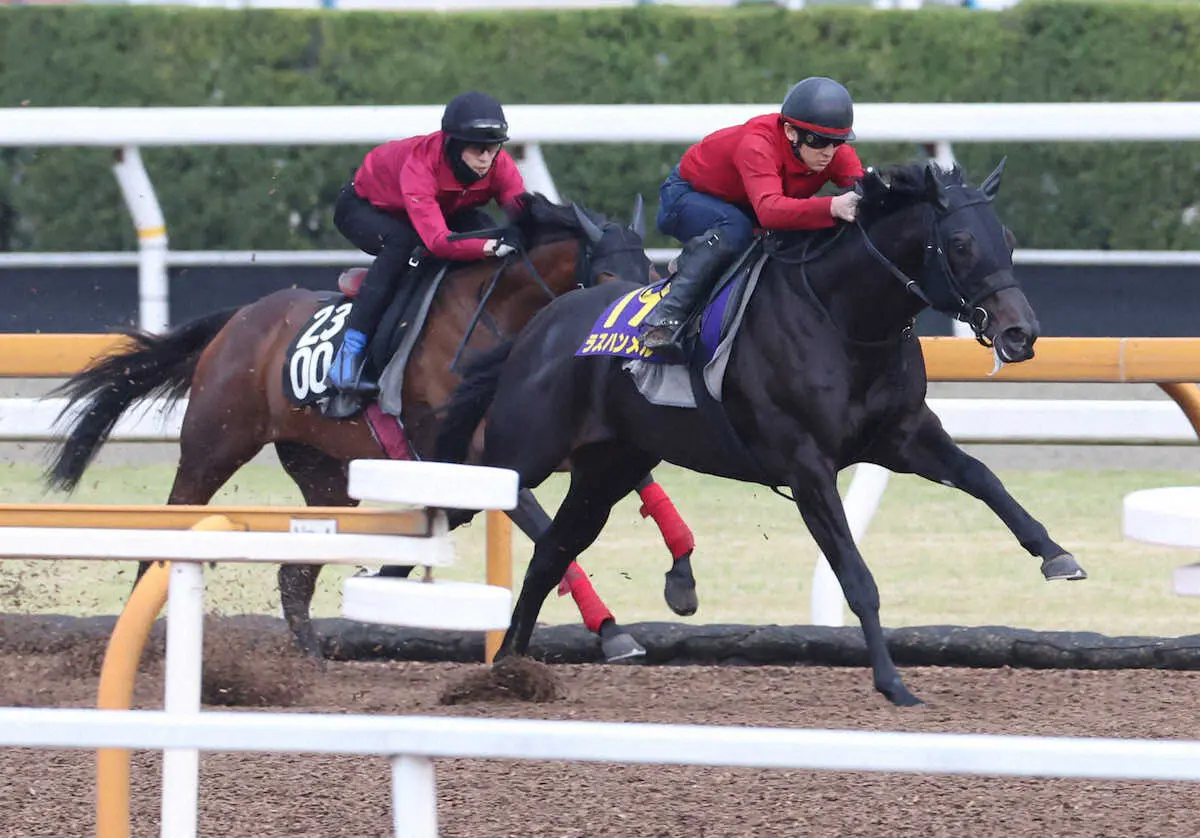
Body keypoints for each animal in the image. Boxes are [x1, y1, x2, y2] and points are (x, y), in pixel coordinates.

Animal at [46, 194, 700, 657]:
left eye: (652, 268)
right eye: (606, 276)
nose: (630, 341)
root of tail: (239, 319)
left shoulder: (567, 439)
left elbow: (642, 491)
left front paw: (680, 576)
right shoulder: (472, 457)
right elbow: (548, 533)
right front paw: (612, 630)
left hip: (324, 475)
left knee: (293, 572)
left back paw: (310, 657)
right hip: (213, 445)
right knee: (169, 526)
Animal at [439, 159, 1089, 701]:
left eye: (1007, 241)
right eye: (959, 243)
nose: (1020, 334)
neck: (845, 319)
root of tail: (538, 327)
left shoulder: (902, 436)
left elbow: (983, 479)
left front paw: (1056, 554)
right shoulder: (807, 466)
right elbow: (856, 576)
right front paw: (892, 682)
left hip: (609, 469)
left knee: (550, 553)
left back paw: (511, 671)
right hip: (524, 453)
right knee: (460, 498)